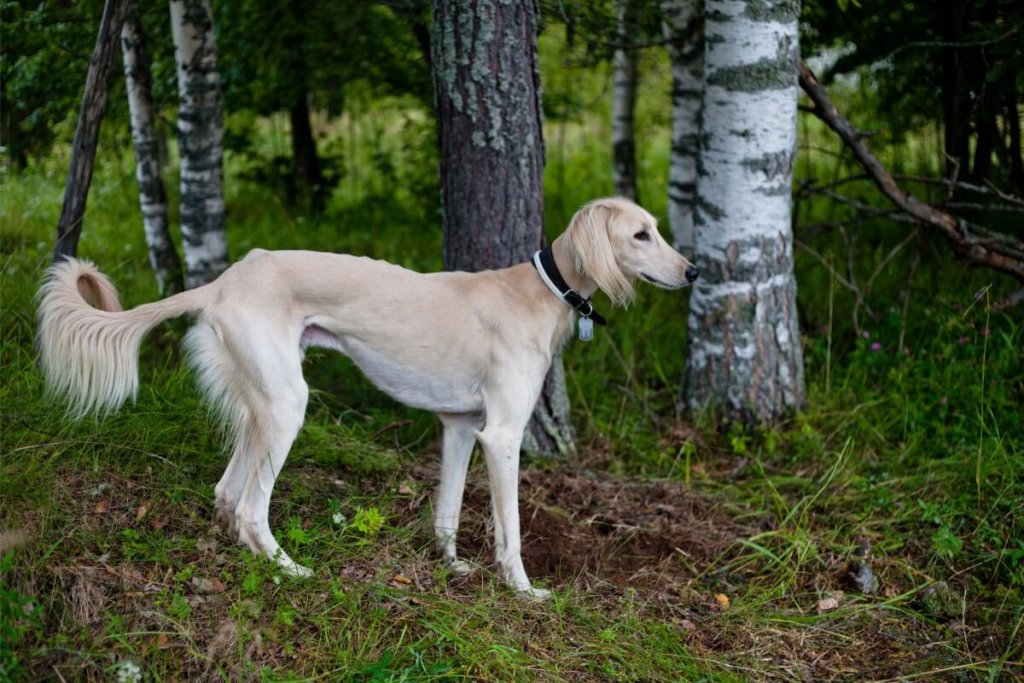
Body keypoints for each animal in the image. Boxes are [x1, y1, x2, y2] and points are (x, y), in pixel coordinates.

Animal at [37, 197, 696, 598]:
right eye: (641, 235)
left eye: (659, 229)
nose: (692, 272)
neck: (540, 291)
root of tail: (224, 281)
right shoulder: (502, 435)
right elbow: (509, 531)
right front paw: (524, 591)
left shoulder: (462, 427)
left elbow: (446, 511)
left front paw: (452, 567)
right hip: (287, 405)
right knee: (251, 507)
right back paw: (290, 569)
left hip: (263, 401)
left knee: (227, 493)